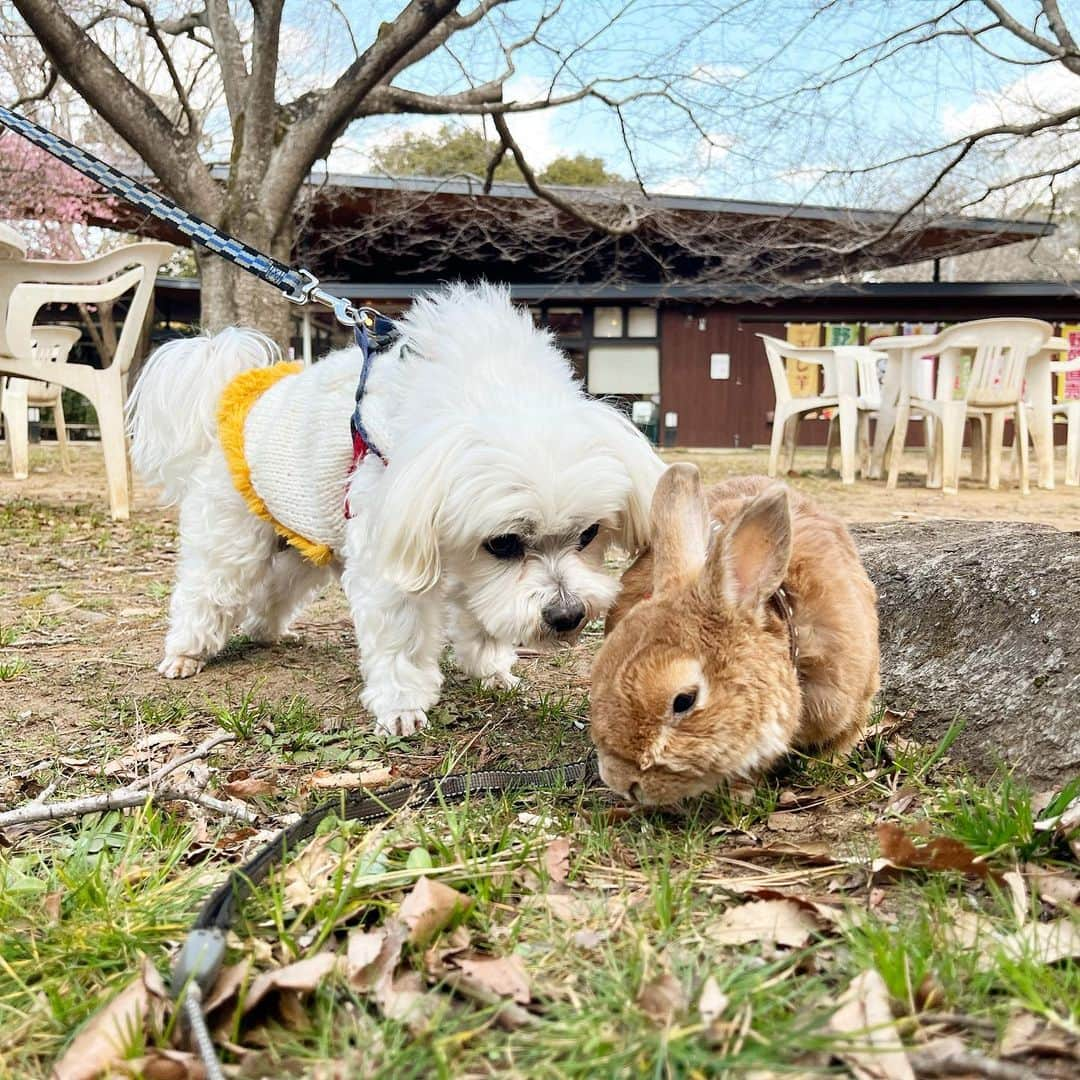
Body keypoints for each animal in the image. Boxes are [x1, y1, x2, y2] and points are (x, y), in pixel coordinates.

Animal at [130, 280, 660, 734]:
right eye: (504, 543)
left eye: (588, 534)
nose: (567, 614)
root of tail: (238, 394)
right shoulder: (396, 558)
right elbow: (402, 638)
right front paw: (403, 706)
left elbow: (481, 616)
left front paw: (491, 669)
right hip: (233, 538)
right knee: (208, 590)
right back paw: (186, 653)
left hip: (309, 542)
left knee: (278, 587)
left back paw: (266, 631)